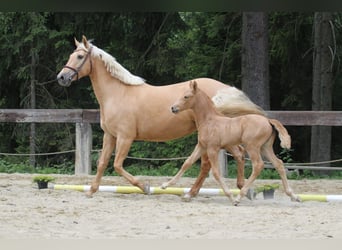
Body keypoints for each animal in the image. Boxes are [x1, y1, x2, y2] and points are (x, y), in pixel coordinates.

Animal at [171, 80, 300, 205]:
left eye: (186, 96)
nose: (173, 108)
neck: (209, 120)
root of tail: (268, 120)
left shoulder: (212, 148)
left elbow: (216, 173)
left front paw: (231, 197)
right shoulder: (201, 146)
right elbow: (187, 163)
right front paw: (167, 185)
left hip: (252, 147)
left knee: (258, 165)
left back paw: (239, 197)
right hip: (265, 147)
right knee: (278, 163)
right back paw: (293, 196)